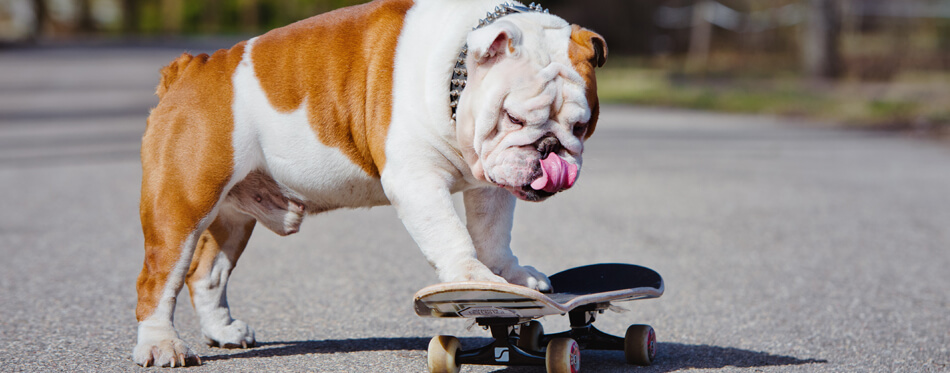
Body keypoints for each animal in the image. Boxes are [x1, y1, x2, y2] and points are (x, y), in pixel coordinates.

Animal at [134, 0, 608, 366]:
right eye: (513, 118)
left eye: (580, 127)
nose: (550, 149)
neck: (455, 77)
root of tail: (190, 69)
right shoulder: (417, 179)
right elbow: (451, 235)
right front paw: (471, 278)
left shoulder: (489, 185)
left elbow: (493, 234)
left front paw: (509, 277)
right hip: (183, 205)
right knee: (158, 280)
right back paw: (162, 347)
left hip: (232, 217)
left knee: (206, 274)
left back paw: (224, 331)